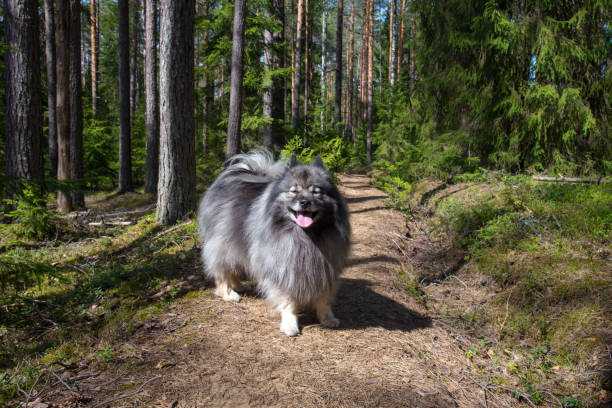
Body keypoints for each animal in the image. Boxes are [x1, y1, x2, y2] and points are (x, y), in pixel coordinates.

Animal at [198, 150, 352, 334]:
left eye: (316, 192)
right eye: (294, 191)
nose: (305, 202)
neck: (307, 235)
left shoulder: (326, 268)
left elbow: (324, 298)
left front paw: (327, 318)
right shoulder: (283, 268)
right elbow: (288, 301)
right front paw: (290, 324)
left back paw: (240, 286)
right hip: (223, 245)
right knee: (222, 272)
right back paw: (229, 293)